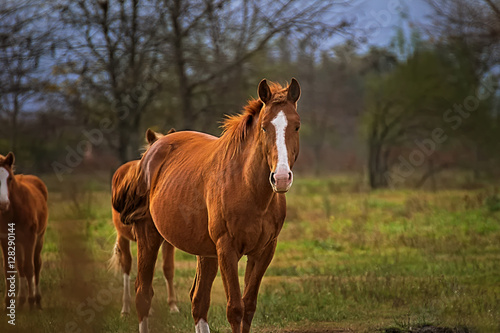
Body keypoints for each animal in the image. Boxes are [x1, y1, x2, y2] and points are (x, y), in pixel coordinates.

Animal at [0, 152, 48, 310]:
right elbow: (9, 268)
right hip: (17, 242)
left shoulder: (30, 237)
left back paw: (37, 299)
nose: (3, 203)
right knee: (20, 265)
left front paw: (31, 300)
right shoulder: (5, 239)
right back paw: (20, 299)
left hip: (39, 237)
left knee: (36, 264)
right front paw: (8, 301)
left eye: (9, 178)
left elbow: (29, 267)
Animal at [109, 128, 180, 316]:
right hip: (123, 237)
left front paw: (173, 306)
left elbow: (168, 269)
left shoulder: (167, 242)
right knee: (126, 266)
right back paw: (125, 308)